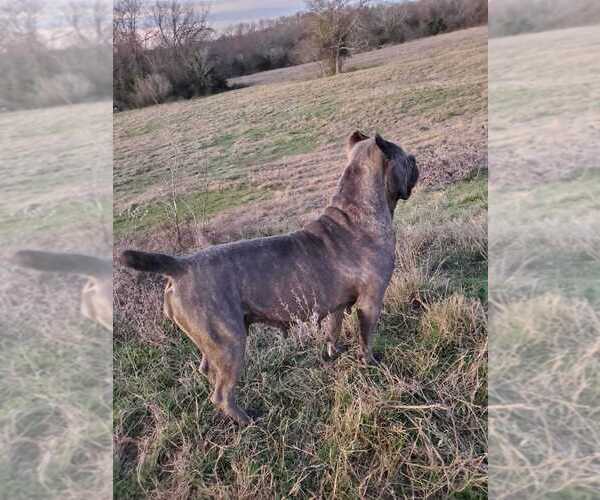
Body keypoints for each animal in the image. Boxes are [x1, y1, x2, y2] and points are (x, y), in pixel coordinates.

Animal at [120, 131, 420, 424]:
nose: (416, 159)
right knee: (222, 394)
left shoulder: (336, 305)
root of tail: (180, 265)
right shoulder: (371, 303)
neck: (358, 212)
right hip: (232, 343)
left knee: (208, 370)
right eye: (406, 158)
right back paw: (248, 420)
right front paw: (371, 362)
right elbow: (366, 338)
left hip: (213, 343)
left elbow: (333, 331)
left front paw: (334, 353)